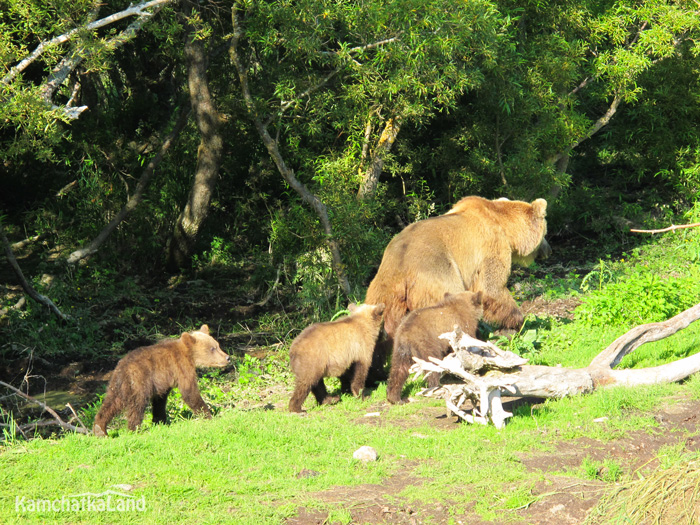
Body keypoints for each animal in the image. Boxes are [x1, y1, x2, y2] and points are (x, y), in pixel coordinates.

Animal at [93, 326, 228, 436]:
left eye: (217, 345)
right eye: (212, 348)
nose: (227, 357)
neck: (190, 355)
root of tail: (123, 368)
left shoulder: (162, 381)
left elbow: (160, 401)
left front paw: (160, 420)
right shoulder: (181, 367)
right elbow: (189, 392)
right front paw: (208, 416)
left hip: (116, 385)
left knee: (110, 403)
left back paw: (100, 429)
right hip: (139, 381)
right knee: (137, 405)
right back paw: (134, 429)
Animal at [364, 195, 548, 376]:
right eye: (546, 232)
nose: (549, 249)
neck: (504, 226)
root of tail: (402, 269)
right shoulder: (490, 246)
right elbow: (491, 289)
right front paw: (516, 323)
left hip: (383, 290)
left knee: (380, 331)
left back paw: (376, 372)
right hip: (437, 275)